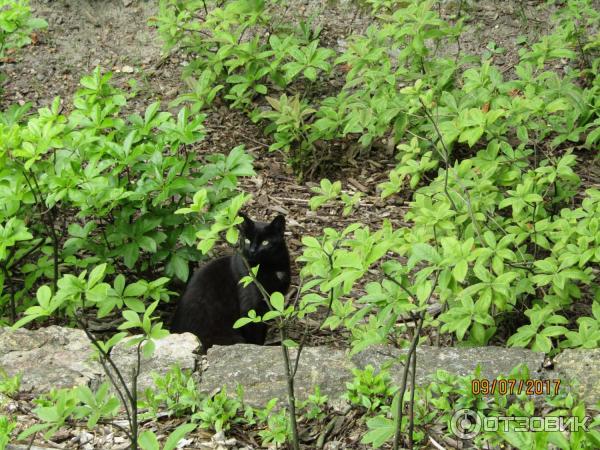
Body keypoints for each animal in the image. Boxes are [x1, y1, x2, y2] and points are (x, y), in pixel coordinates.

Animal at [171, 214, 290, 352]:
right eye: (247, 240)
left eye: (265, 242)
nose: (252, 250)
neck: (271, 268)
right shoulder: (250, 310)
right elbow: (255, 336)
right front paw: (256, 348)